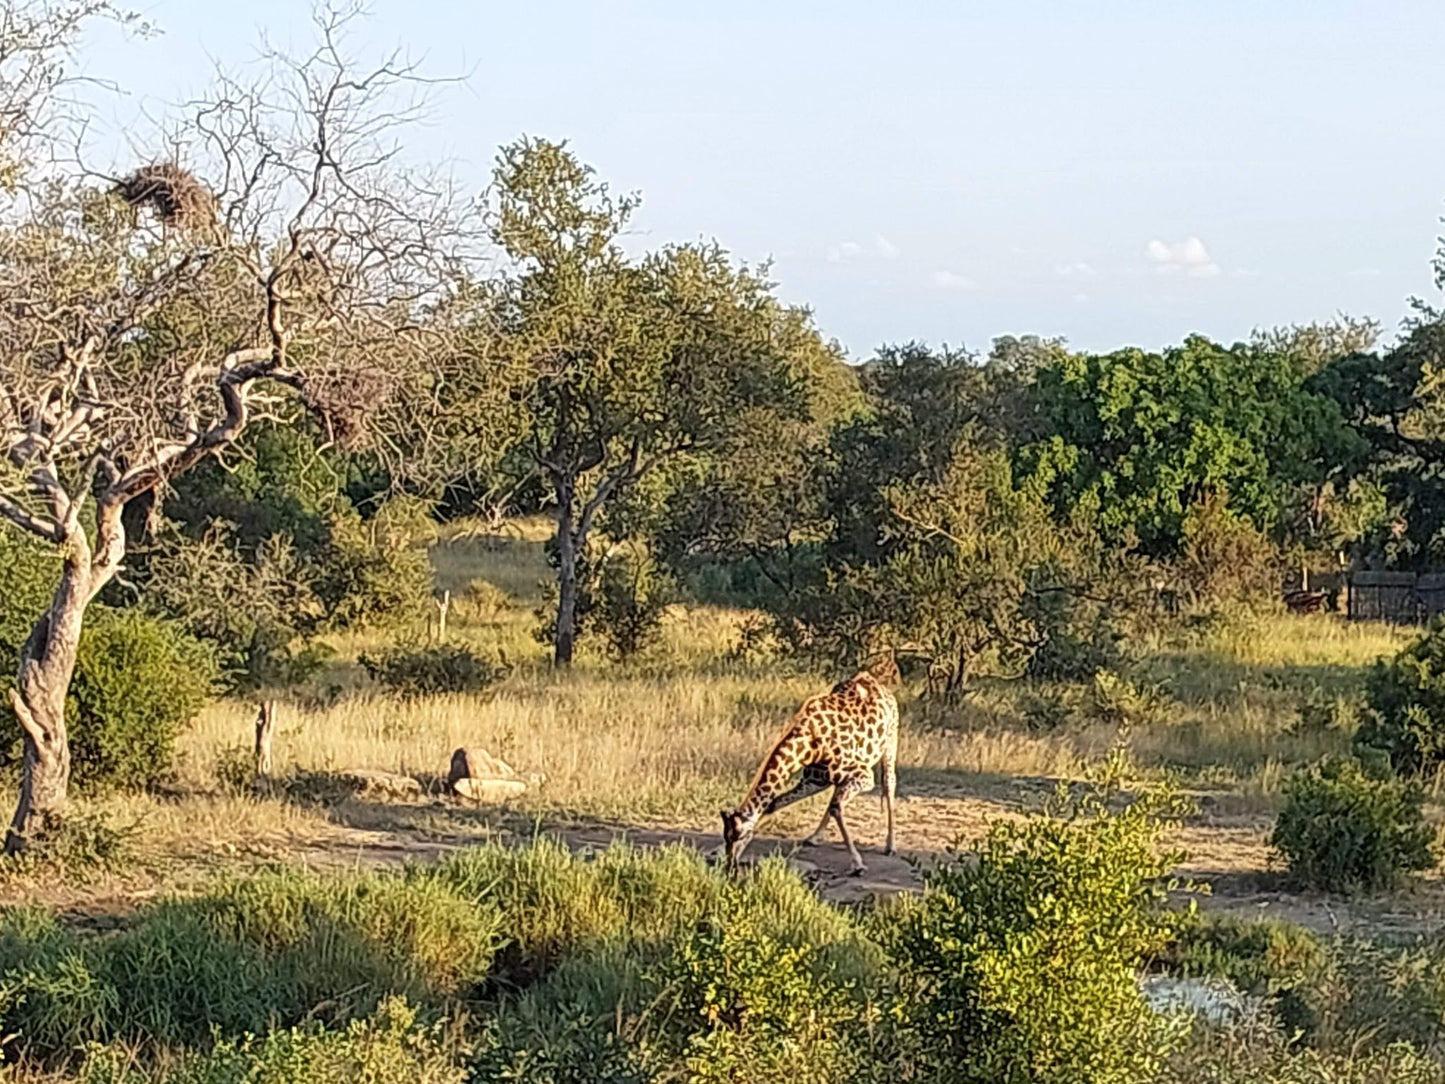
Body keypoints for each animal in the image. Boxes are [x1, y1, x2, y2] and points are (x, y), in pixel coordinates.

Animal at [722, 653, 901, 872]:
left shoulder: (864, 776)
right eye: (726, 837)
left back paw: (890, 846)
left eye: (740, 835)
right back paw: (814, 837)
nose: (730, 865)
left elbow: (836, 807)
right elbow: (774, 803)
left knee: (889, 784)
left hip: (890, 743)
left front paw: (857, 863)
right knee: (836, 799)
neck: (809, 744)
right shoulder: (814, 780)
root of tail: (878, 683)